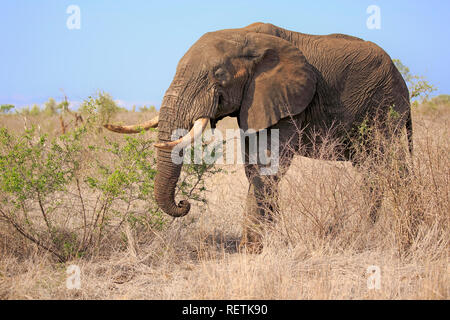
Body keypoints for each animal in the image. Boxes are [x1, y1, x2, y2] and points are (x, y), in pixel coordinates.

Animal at [104, 22, 412, 252]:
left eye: (218, 74)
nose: (183, 203)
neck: (245, 36)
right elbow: (253, 168)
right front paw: (255, 246)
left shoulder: (287, 99)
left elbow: (267, 168)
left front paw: (252, 251)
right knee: (371, 171)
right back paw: (364, 230)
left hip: (386, 106)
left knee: (388, 167)